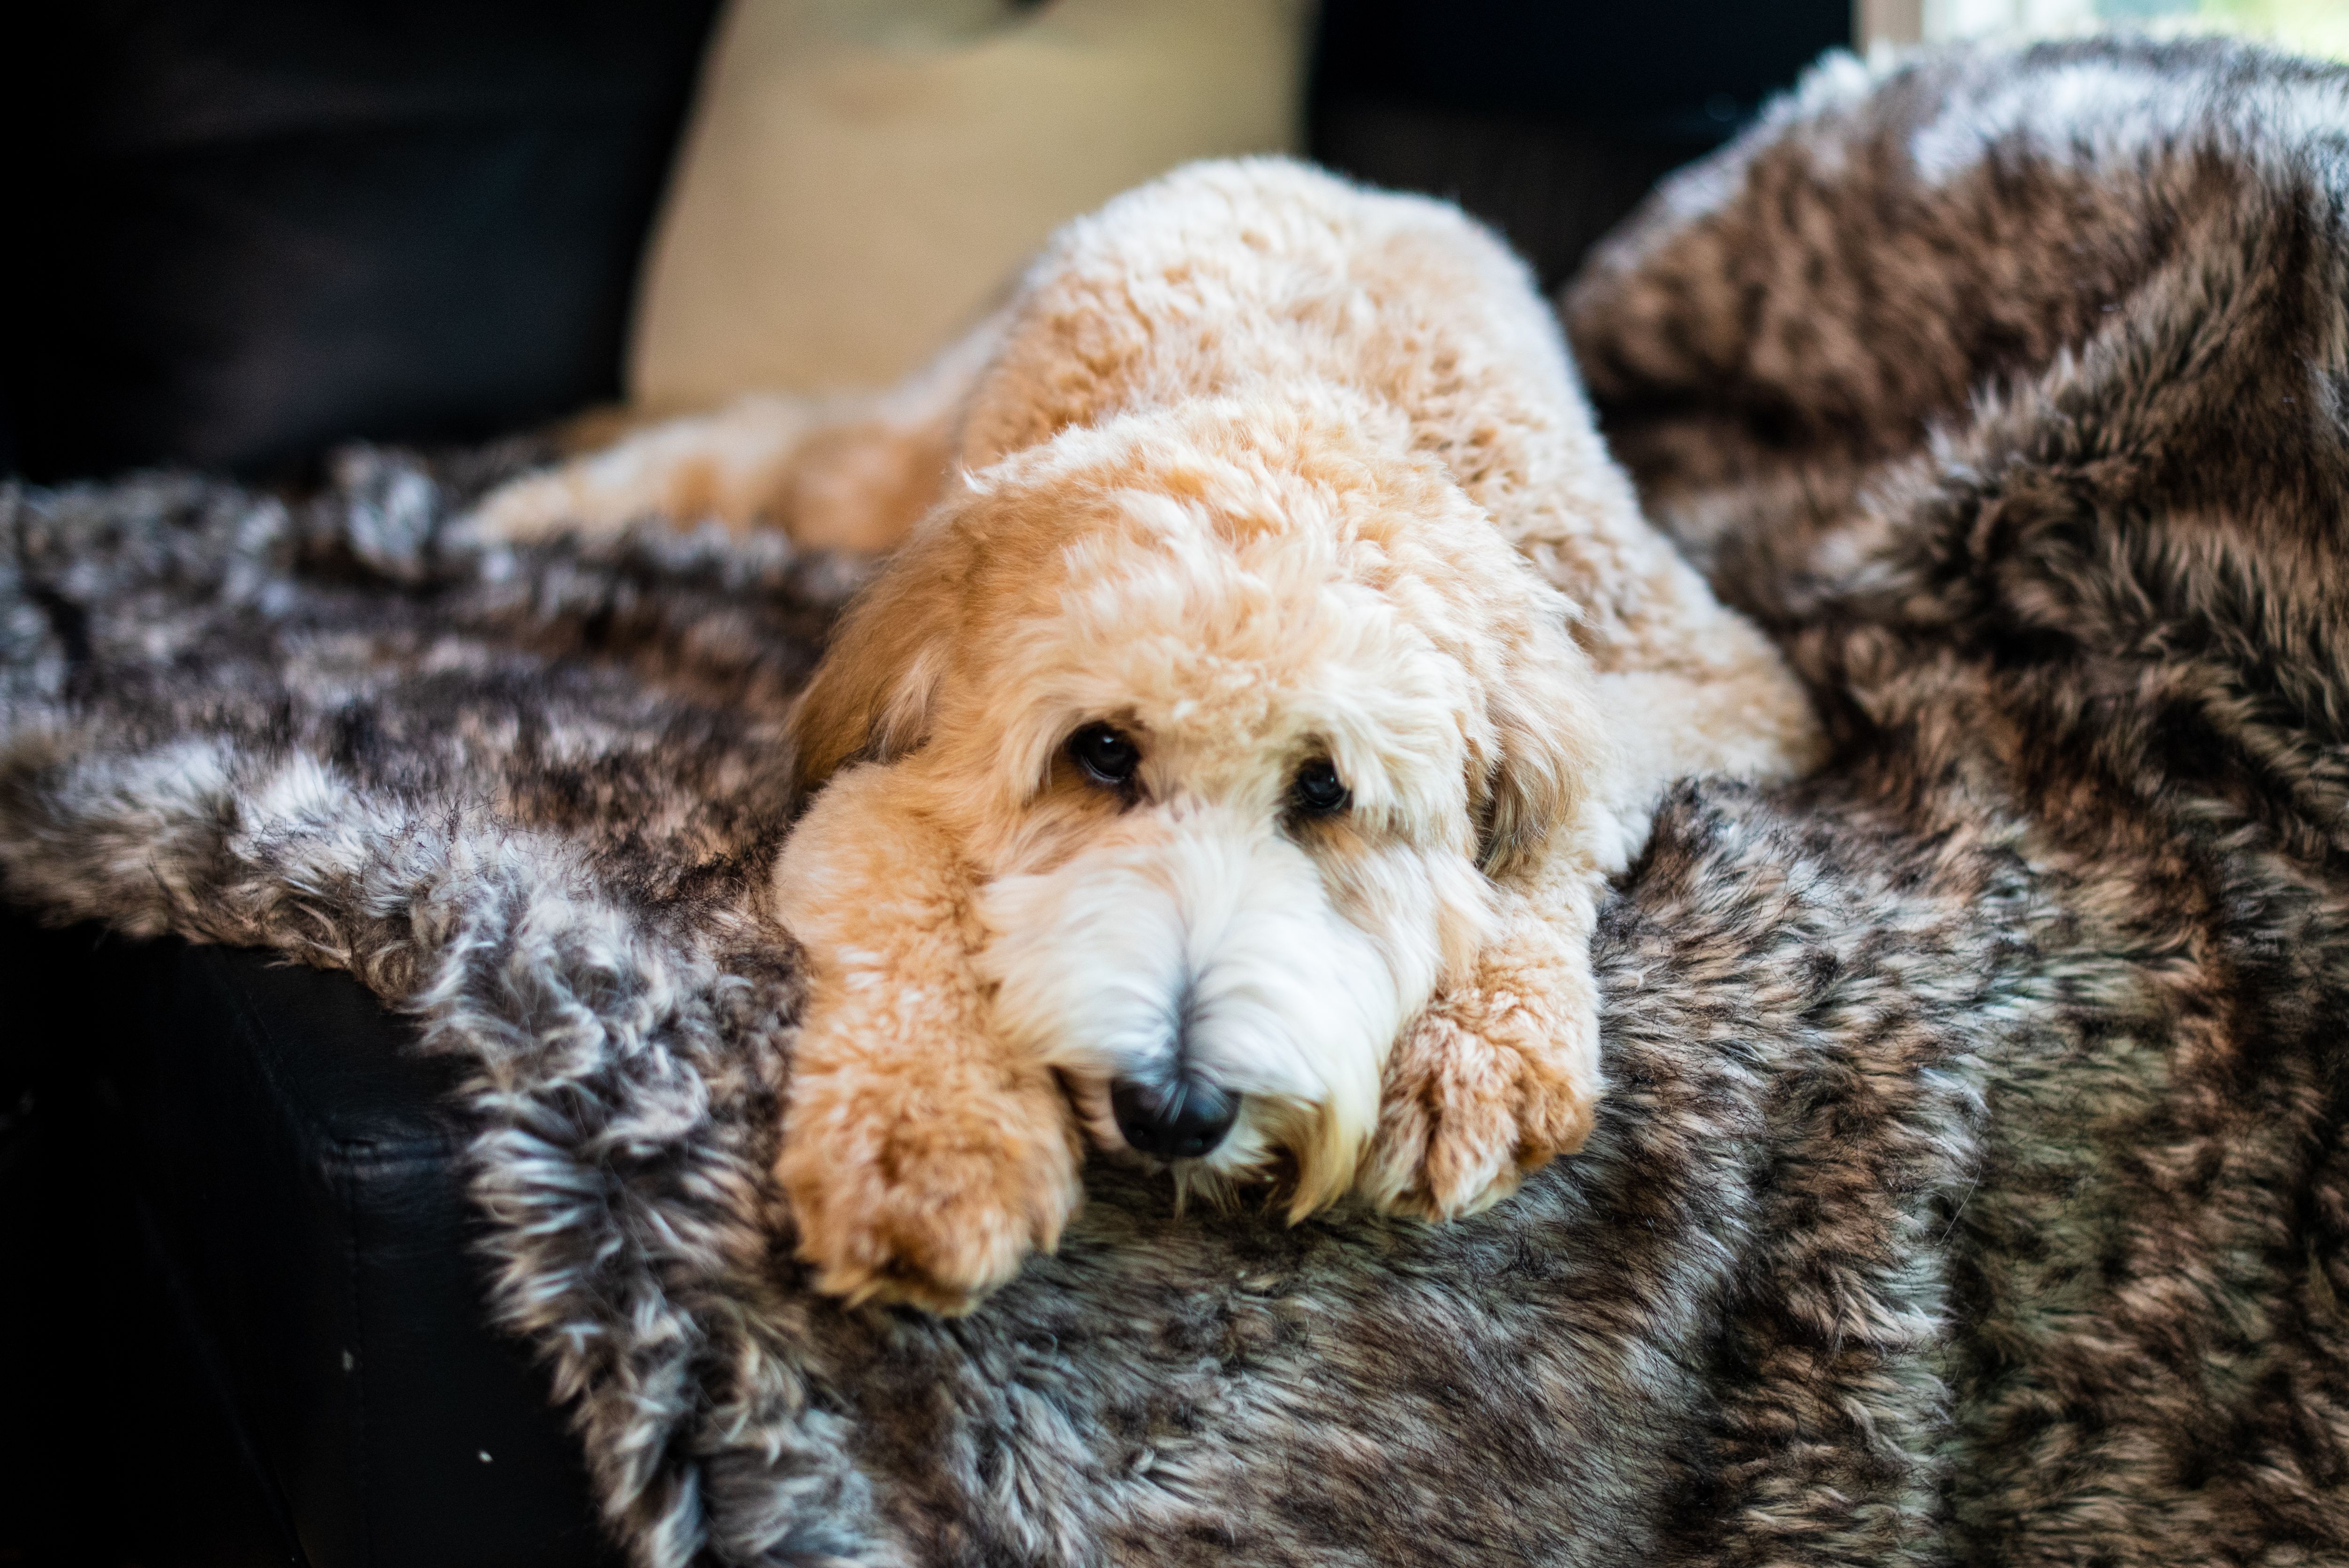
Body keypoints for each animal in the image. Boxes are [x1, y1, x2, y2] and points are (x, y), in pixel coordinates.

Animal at [472, 156, 1813, 1314]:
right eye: (1102, 751)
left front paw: (1470, 1040)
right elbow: (904, 894)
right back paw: (523, 511)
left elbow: (1565, 812)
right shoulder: (889, 777)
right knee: (757, 445)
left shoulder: (1714, 682)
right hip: (876, 472)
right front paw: (929, 1136)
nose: (1172, 1107)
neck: (1289, 397)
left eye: (1325, 790)